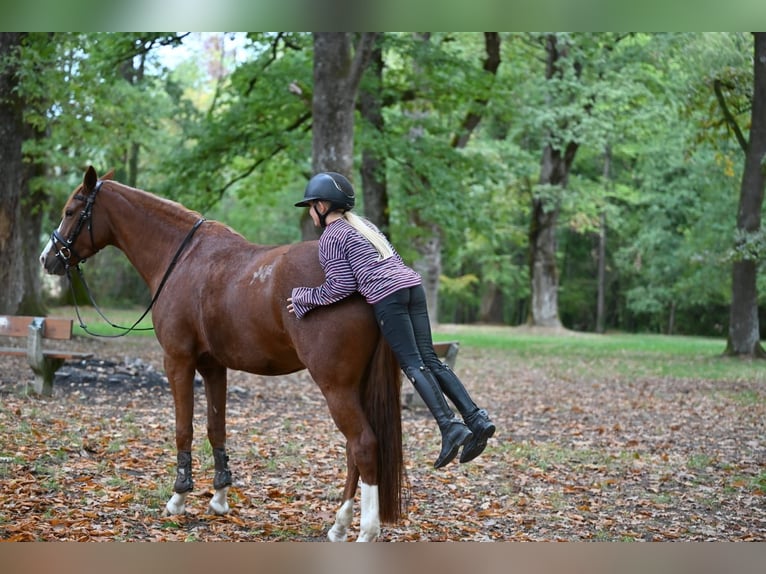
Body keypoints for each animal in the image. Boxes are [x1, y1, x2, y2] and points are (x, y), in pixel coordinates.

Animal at [39, 166, 404, 542]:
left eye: (70, 211)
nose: (47, 258)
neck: (183, 258)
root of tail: (364, 277)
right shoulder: (213, 367)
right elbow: (217, 428)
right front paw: (219, 498)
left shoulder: (178, 361)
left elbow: (184, 429)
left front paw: (178, 498)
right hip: (354, 386)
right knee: (353, 450)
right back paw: (340, 524)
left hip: (335, 386)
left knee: (363, 444)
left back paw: (366, 530)